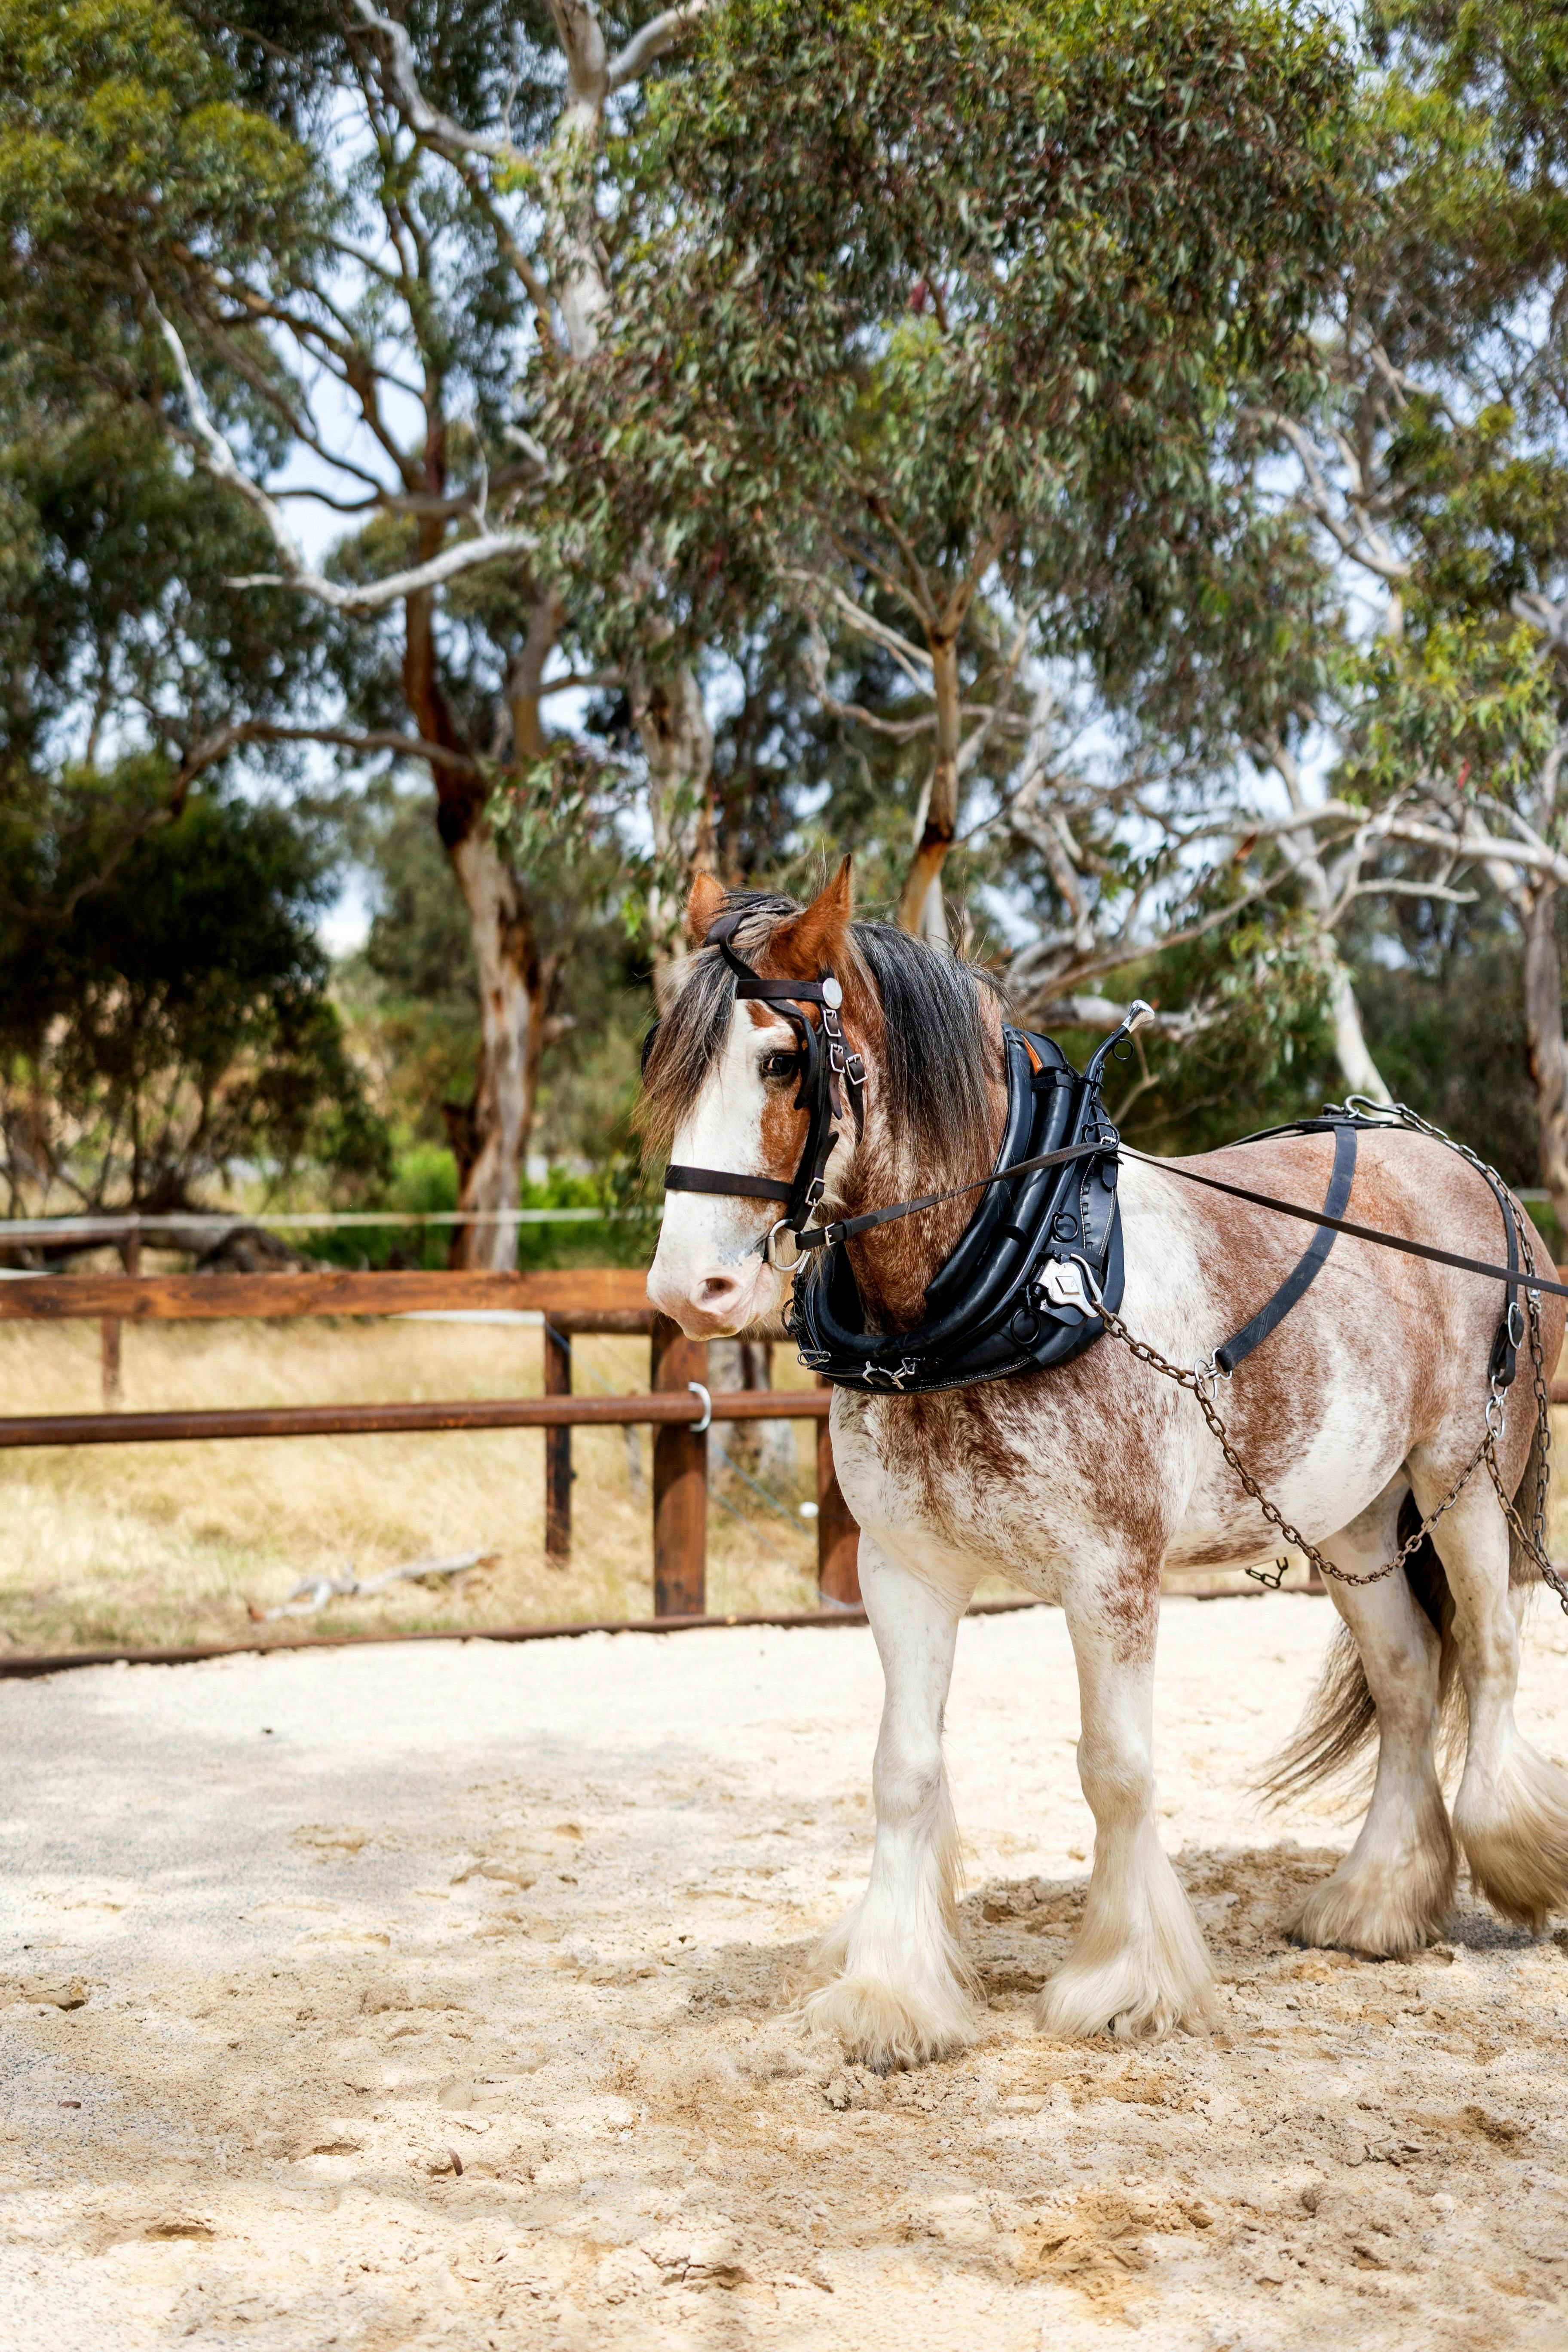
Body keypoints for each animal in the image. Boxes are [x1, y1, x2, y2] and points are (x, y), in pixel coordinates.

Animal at [641, 864, 1568, 2069]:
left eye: (781, 1062)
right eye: (667, 1058)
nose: (685, 1290)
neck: (1019, 1269)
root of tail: (1468, 1172)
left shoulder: (1111, 1576)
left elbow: (1116, 1768)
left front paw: (1126, 1982)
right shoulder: (904, 1570)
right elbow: (904, 1771)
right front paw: (893, 1991)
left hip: (1468, 1476)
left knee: (1493, 1652)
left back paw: (1512, 1855)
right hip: (1350, 1514)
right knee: (1410, 1676)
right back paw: (1375, 1901)